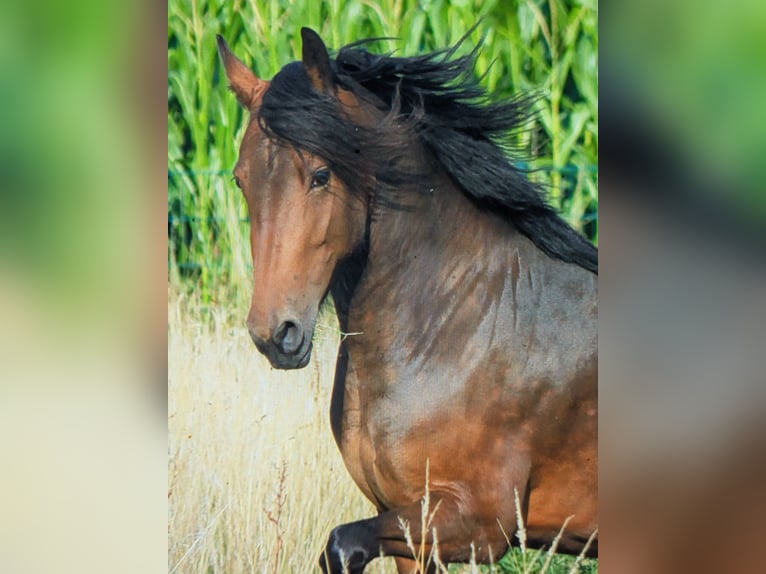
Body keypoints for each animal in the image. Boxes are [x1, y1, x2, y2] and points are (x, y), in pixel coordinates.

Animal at [217, 27, 597, 573]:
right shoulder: (406, 523)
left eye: (320, 175)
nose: (275, 335)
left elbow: (341, 544)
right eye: (241, 180)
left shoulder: (480, 521)